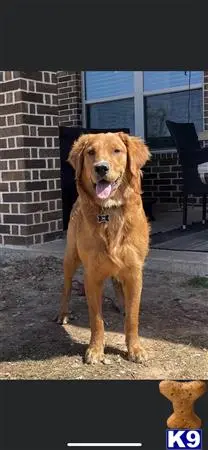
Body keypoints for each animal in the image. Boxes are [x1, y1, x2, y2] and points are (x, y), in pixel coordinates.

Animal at [55, 132, 150, 364]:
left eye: (117, 150)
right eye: (91, 152)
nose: (101, 168)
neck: (110, 211)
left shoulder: (134, 272)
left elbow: (133, 317)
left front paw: (134, 348)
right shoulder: (91, 274)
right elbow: (96, 319)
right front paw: (96, 349)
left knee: (117, 283)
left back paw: (121, 304)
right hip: (71, 258)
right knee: (66, 287)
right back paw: (63, 313)